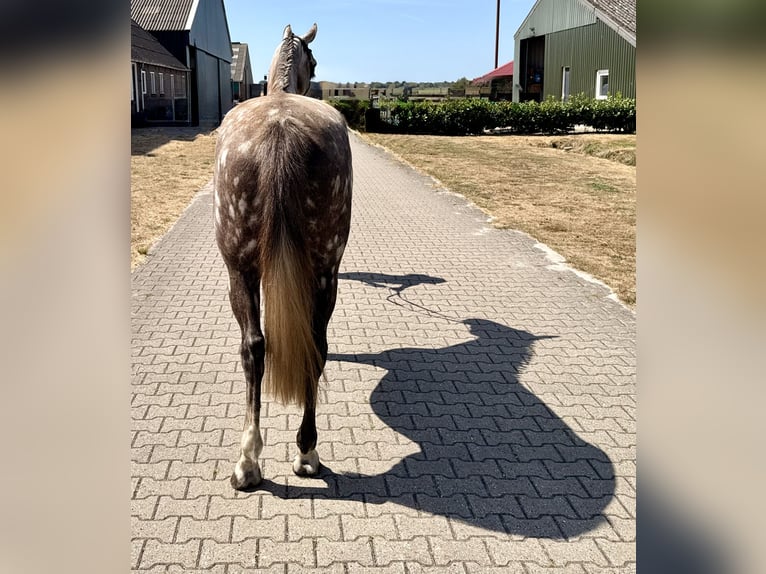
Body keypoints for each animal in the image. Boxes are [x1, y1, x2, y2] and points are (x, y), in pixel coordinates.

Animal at [213, 23, 352, 490]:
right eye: (315, 60)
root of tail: (279, 129)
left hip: (241, 271)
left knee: (256, 347)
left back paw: (258, 459)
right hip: (325, 270)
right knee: (310, 345)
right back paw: (298, 451)